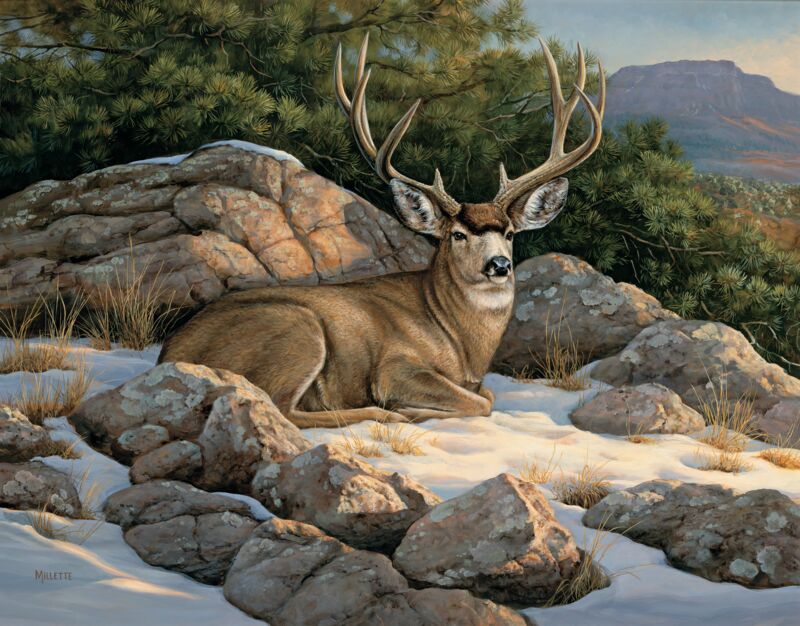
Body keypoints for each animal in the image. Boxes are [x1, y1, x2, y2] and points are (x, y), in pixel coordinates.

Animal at [159, 36, 605, 428]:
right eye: (457, 234)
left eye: (510, 233)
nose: (499, 265)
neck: (458, 339)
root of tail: (169, 354)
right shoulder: (395, 367)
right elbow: (481, 402)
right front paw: (411, 408)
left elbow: (487, 394)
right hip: (297, 332)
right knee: (280, 406)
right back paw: (388, 413)